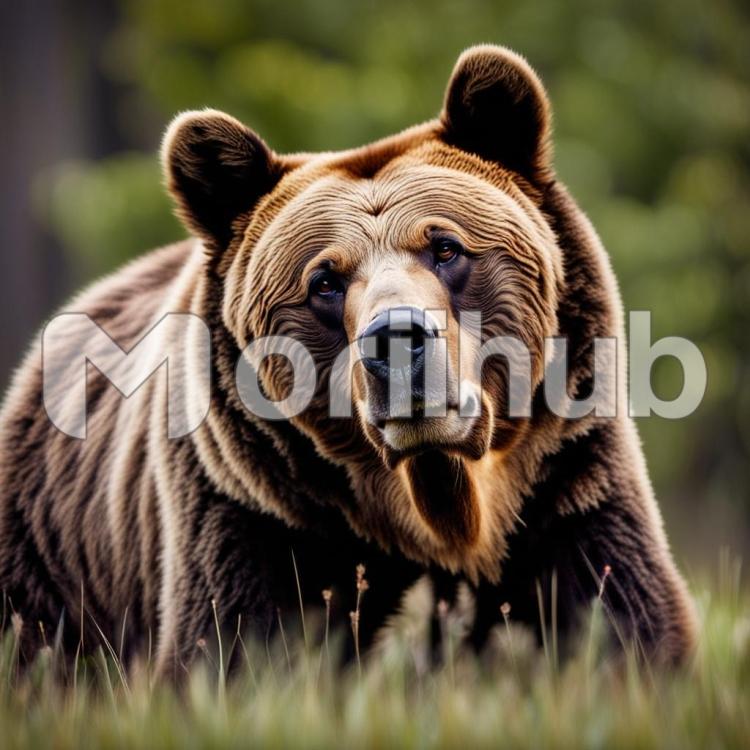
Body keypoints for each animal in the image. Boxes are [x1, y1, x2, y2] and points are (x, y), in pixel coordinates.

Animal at [0, 45, 696, 675]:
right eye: (325, 281)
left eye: (445, 247)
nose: (396, 338)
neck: (440, 510)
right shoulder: (258, 516)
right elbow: (232, 648)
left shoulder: (564, 487)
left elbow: (622, 617)